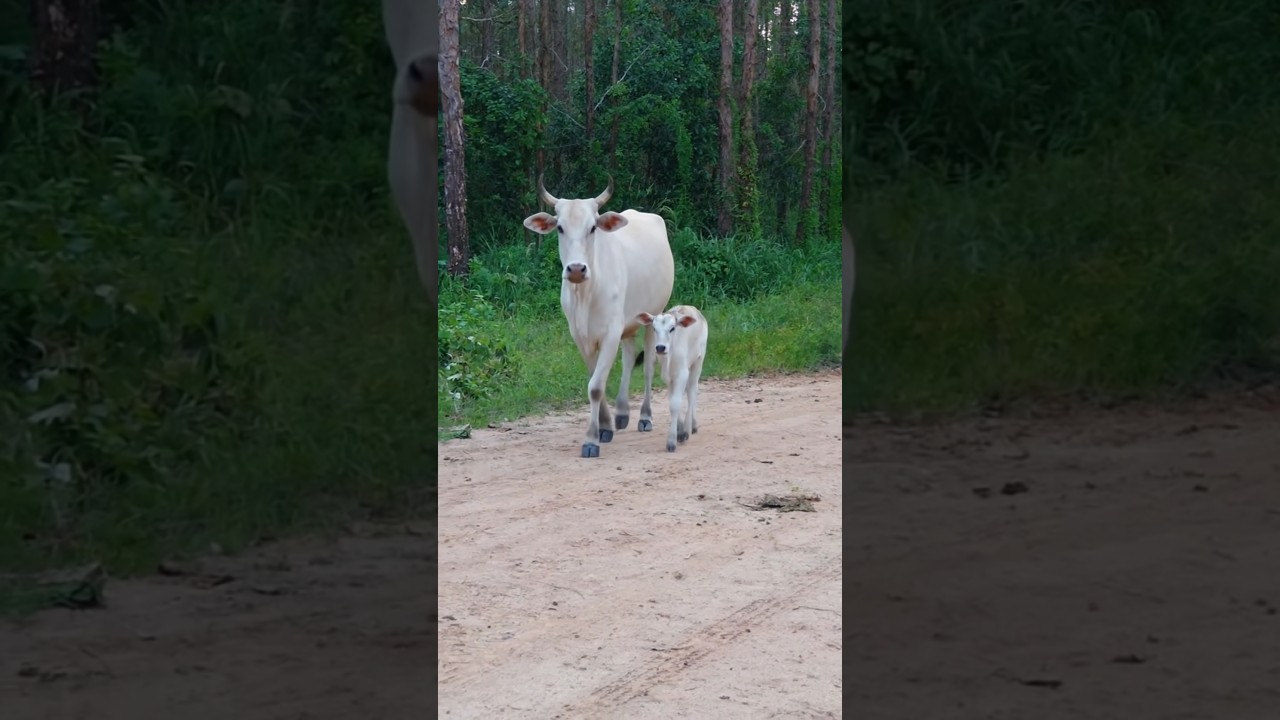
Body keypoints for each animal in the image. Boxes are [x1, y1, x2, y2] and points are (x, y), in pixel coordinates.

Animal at [522, 177, 675, 459]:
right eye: (560, 228)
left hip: (653, 319)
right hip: (630, 323)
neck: (585, 294)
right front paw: (604, 426)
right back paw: (622, 412)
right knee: (629, 356)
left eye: (592, 227)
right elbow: (596, 380)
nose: (576, 269)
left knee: (648, 366)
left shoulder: (610, 333)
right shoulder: (581, 337)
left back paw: (644, 416)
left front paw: (591, 440)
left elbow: (595, 386)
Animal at [636, 305, 708, 453]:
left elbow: (675, 404)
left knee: (692, 391)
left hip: (698, 361)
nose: (660, 347)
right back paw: (693, 424)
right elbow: (672, 401)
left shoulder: (682, 374)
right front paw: (679, 431)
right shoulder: (668, 377)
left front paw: (673, 439)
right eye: (654, 328)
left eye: (672, 328)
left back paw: (689, 426)